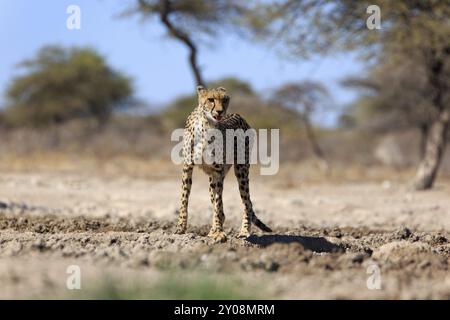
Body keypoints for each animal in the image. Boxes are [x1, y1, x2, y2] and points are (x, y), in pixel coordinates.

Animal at [175, 85, 272, 242]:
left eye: (225, 100)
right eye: (211, 99)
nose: (220, 111)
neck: (206, 124)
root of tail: (239, 116)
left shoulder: (217, 171)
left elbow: (218, 203)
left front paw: (219, 232)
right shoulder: (188, 167)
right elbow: (185, 198)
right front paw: (181, 227)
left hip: (241, 170)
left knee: (247, 202)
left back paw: (244, 231)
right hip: (212, 179)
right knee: (224, 208)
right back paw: (213, 229)